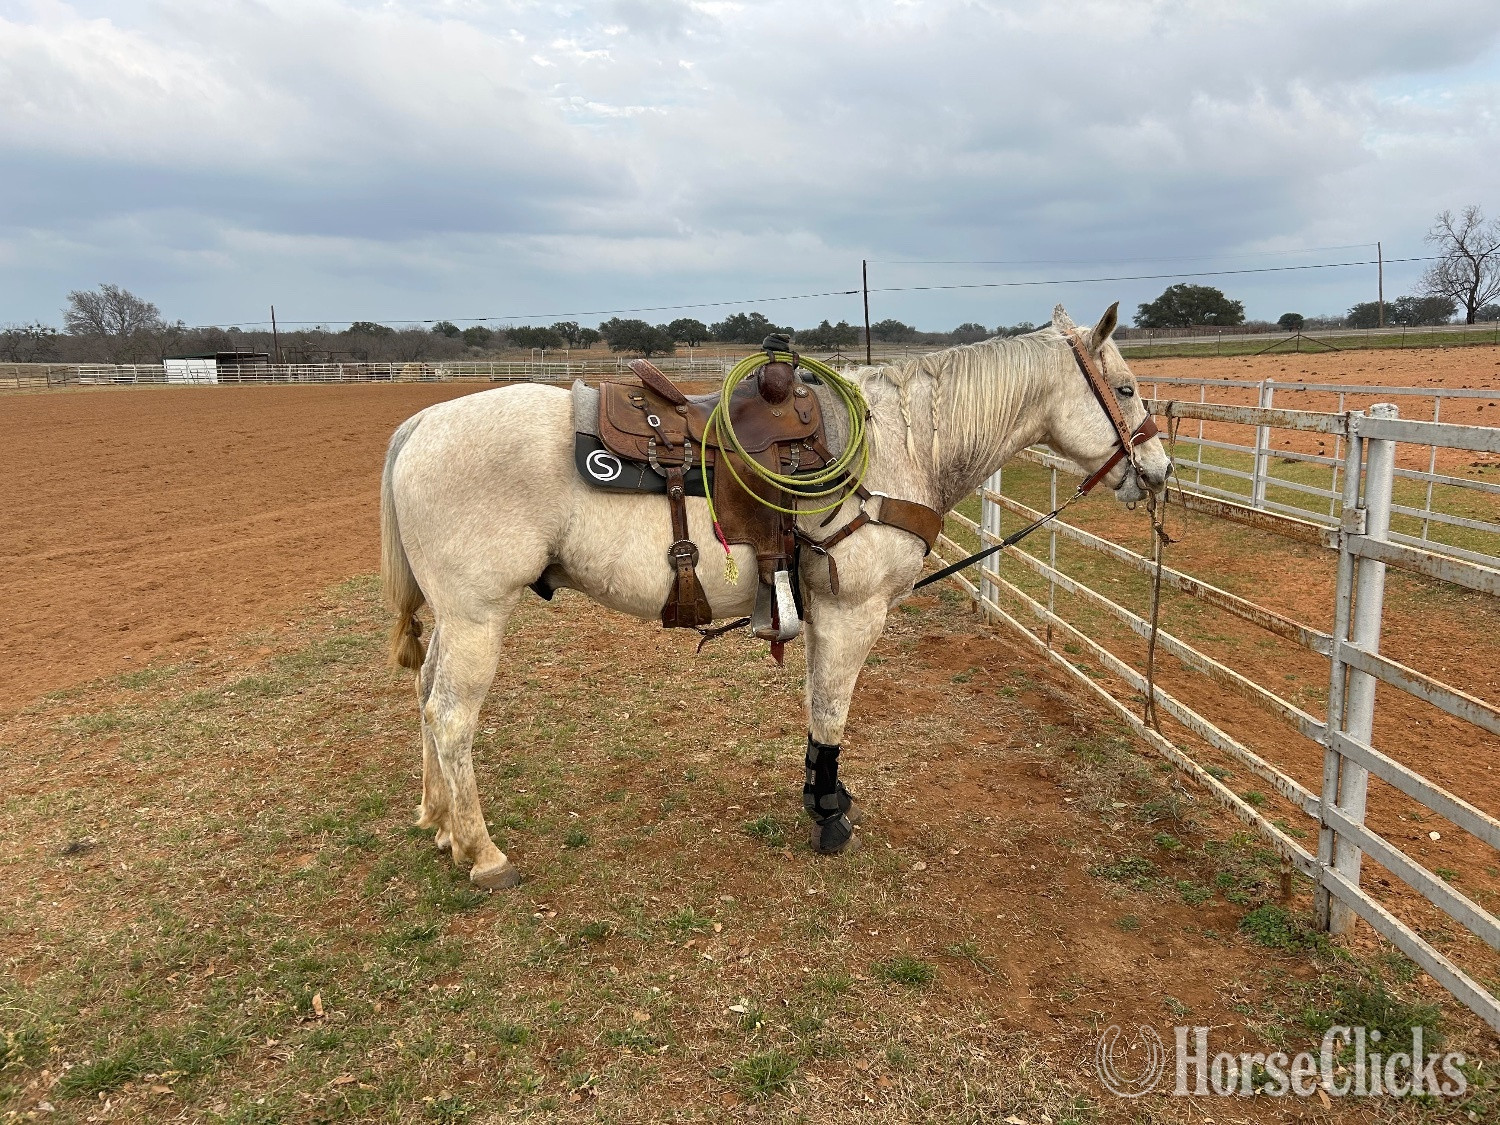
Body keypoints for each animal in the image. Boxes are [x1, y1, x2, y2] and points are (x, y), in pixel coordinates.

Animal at [379, 302, 1172, 889]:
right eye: (1128, 388)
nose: (1160, 471)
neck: (895, 447)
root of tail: (418, 425)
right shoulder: (853, 614)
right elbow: (830, 713)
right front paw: (828, 814)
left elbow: (820, 710)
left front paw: (825, 798)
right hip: (478, 617)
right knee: (451, 719)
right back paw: (483, 854)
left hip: (454, 620)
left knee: (423, 698)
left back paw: (439, 822)